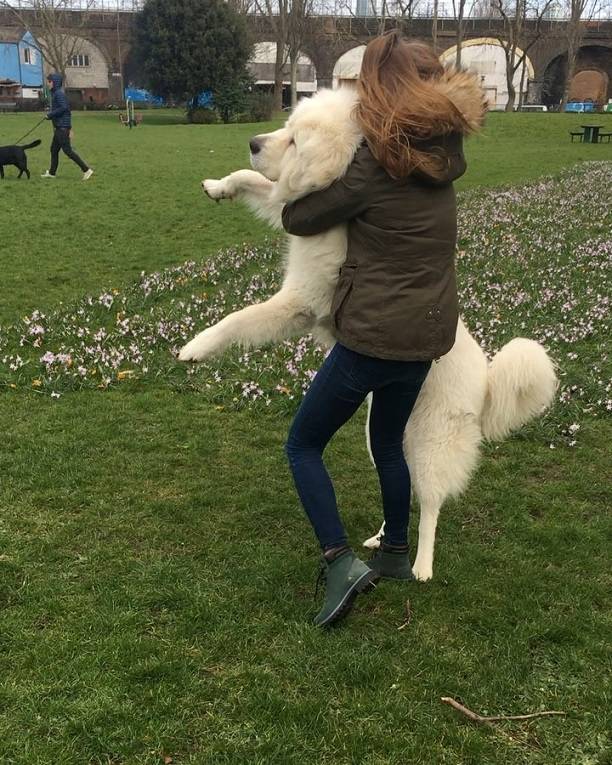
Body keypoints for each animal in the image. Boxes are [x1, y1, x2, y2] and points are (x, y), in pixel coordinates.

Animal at [179, 85, 556, 580]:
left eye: (296, 141)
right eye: (286, 128)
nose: (254, 142)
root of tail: (489, 376)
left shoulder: (298, 303)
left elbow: (237, 319)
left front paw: (195, 347)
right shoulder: (293, 209)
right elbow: (264, 188)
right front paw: (219, 186)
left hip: (432, 444)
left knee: (430, 503)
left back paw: (421, 565)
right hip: (384, 433)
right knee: (399, 485)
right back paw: (382, 538)